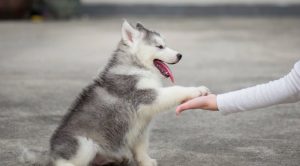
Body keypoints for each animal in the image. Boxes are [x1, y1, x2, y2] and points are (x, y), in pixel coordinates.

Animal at [21, 20, 209, 166]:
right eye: (160, 46)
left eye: (165, 44)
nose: (180, 55)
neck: (137, 66)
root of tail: (51, 151)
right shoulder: (145, 95)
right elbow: (174, 90)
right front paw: (197, 90)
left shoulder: (141, 127)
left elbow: (141, 147)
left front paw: (146, 161)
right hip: (83, 144)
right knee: (64, 161)